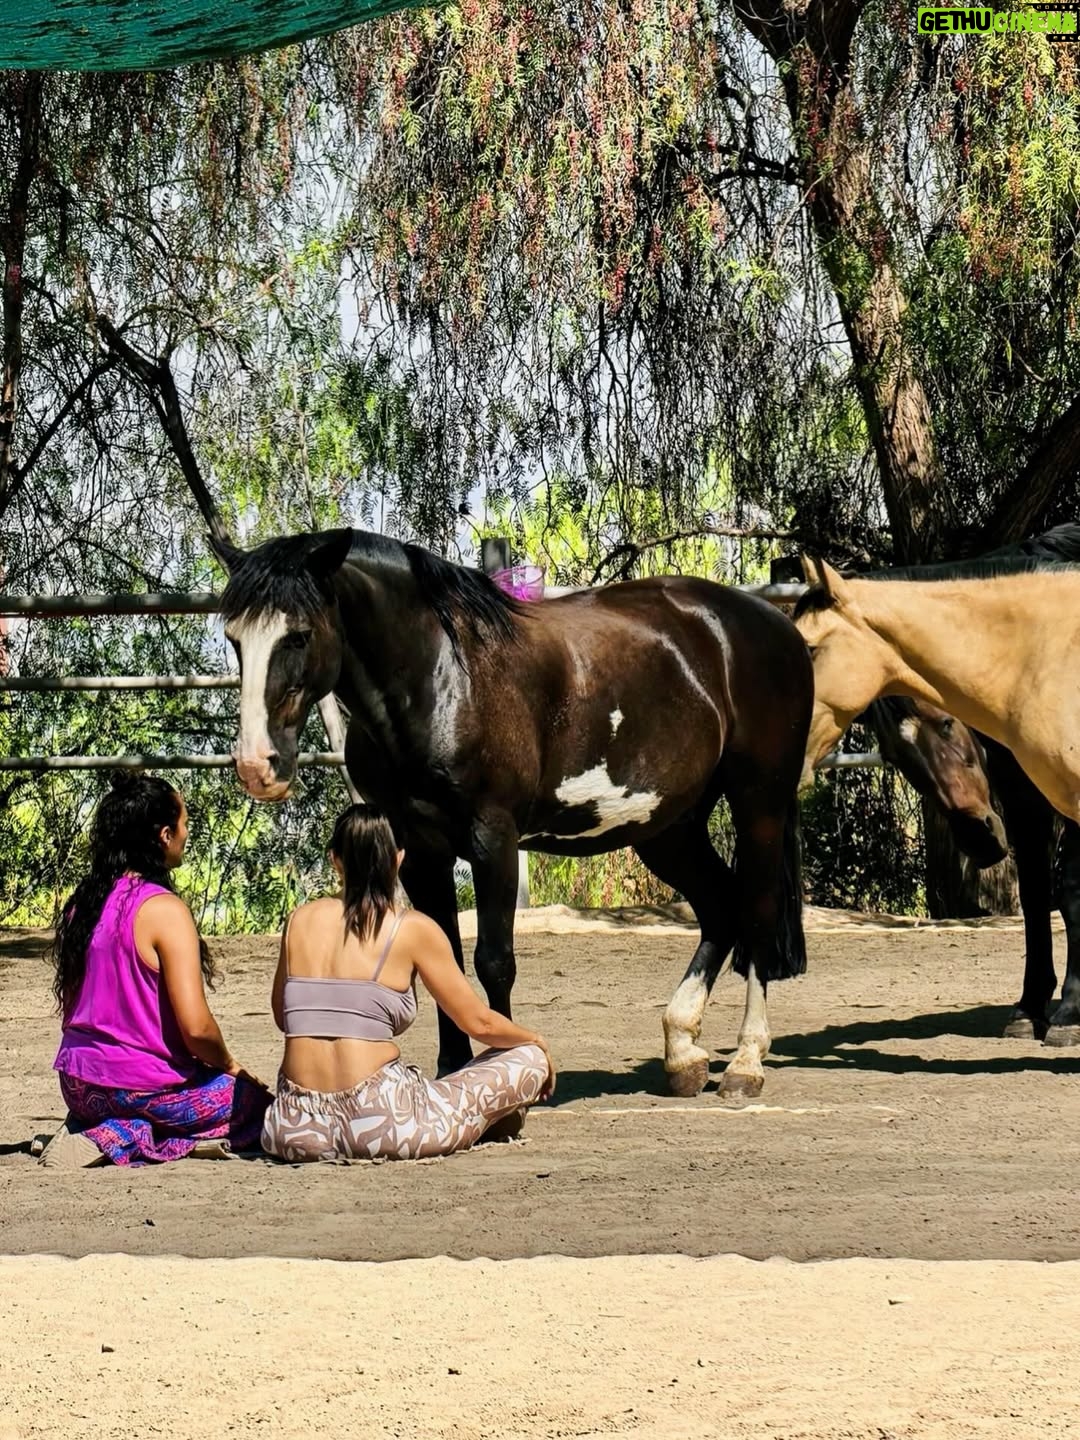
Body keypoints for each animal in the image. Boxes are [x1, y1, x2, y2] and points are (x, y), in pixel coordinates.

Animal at [210, 528, 814, 1098]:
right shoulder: (421, 851)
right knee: (720, 909)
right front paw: (453, 1070)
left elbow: (493, 961)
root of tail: (771, 623)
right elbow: (443, 959)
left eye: (298, 634)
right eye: (234, 638)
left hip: (758, 803)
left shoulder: (492, 838)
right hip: (668, 828)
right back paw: (683, 1053)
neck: (443, 676)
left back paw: (745, 1063)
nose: (258, 765)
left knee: (757, 913)